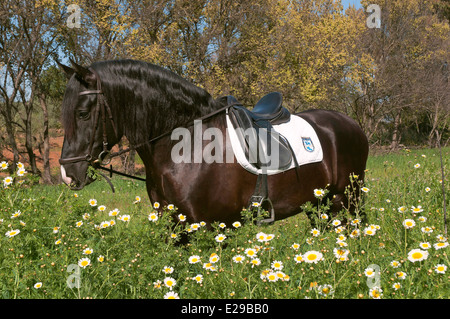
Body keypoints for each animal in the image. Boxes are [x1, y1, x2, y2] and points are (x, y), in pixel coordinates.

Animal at [59, 58, 370, 226]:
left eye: (82, 113)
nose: (67, 174)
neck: (189, 147)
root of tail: (351, 123)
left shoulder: (209, 225)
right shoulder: (175, 226)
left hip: (346, 202)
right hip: (321, 206)